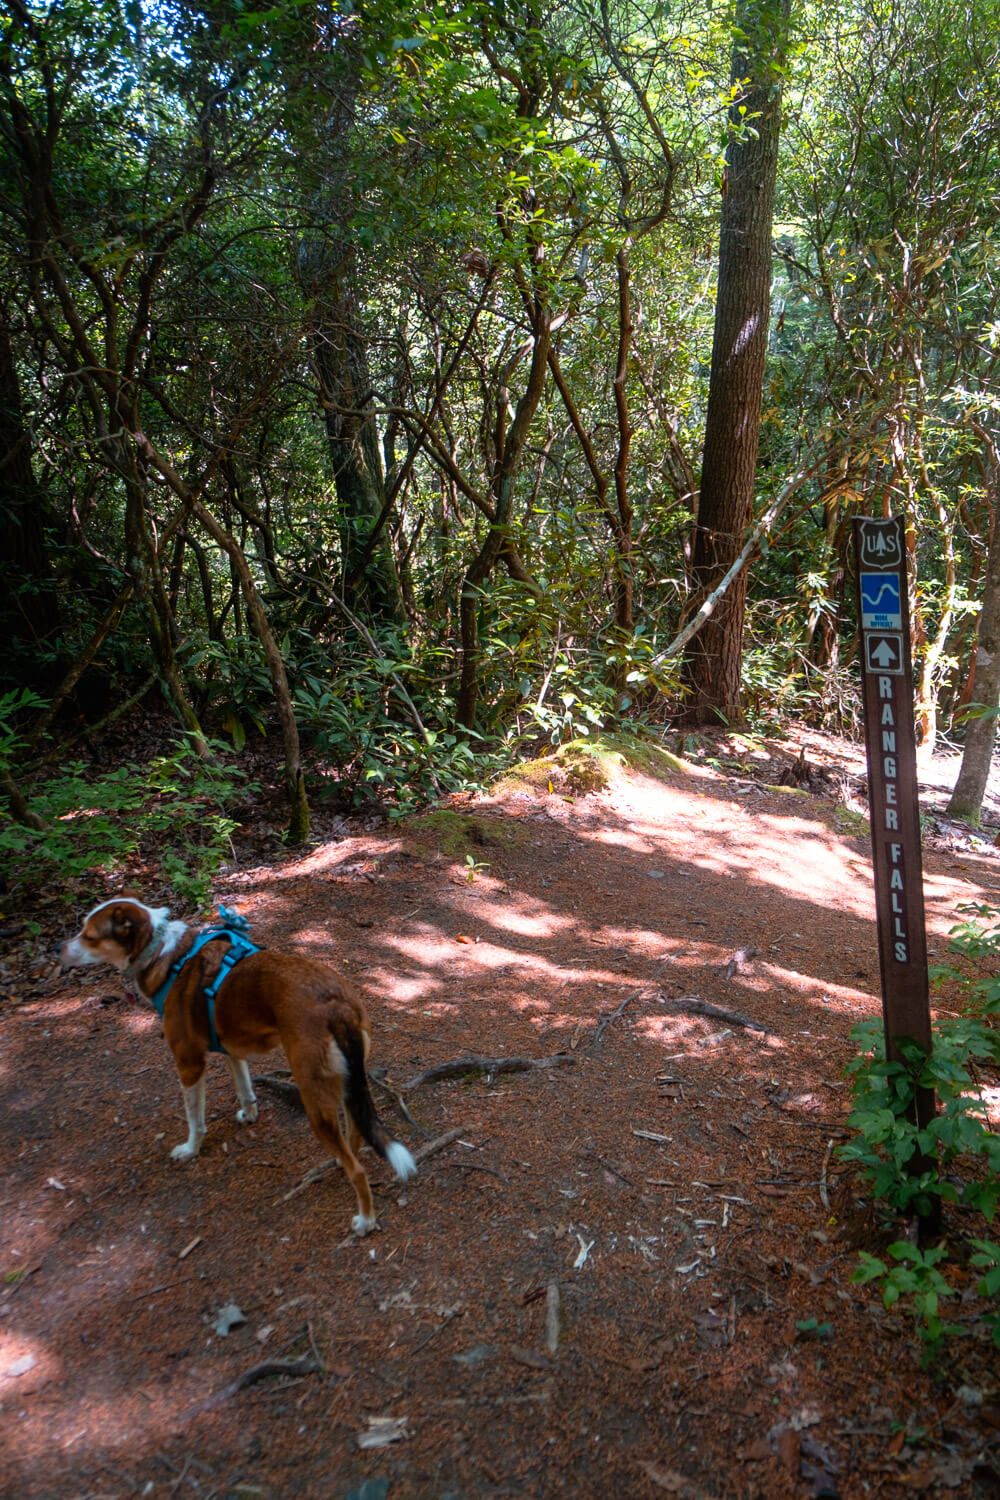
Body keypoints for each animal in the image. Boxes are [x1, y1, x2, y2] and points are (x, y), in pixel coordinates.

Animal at [61, 900, 413, 1230]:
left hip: (313, 1097)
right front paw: (249, 1114)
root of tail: (336, 1004)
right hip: (346, 1082)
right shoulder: (232, 1050)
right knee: (355, 1133)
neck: (163, 953)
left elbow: (195, 1120)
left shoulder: (189, 1063)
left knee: (358, 1169)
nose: (56, 950)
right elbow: (245, 1088)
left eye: (88, 935)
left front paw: (190, 1149)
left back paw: (365, 1220)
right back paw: (343, 1163)